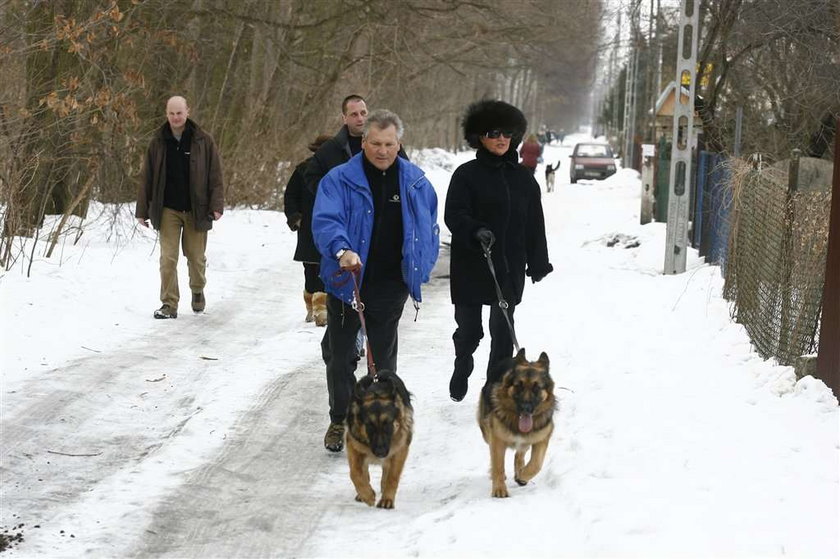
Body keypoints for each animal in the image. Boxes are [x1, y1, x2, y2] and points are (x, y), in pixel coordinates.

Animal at [344, 370, 414, 510]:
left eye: (387, 423)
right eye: (369, 425)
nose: (380, 452)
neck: (375, 393)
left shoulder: (400, 449)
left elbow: (393, 476)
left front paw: (387, 499)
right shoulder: (353, 445)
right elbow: (355, 473)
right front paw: (367, 495)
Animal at [476, 350, 556, 498]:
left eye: (537, 388)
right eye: (518, 386)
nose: (526, 408)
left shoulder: (541, 439)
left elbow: (536, 464)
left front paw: (522, 476)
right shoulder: (497, 439)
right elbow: (498, 465)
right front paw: (499, 489)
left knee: (520, 454)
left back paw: (520, 470)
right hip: (486, 432)